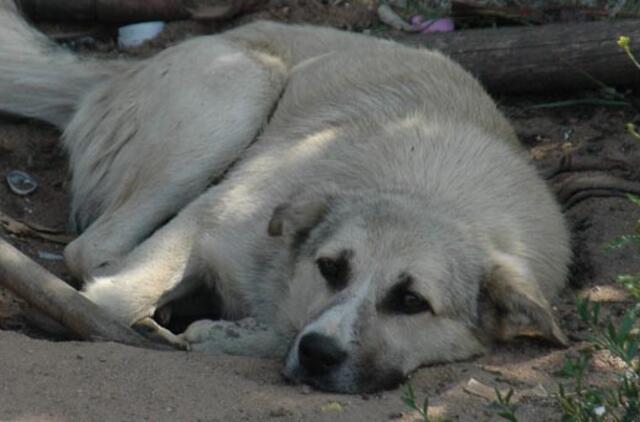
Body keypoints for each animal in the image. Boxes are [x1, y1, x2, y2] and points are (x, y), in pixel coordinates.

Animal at [0, 1, 568, 394]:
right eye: (331, 268)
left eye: (411, 302)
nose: (318, 353)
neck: (424, 185)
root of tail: (119, 70)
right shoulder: (208, 217)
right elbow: (114, 296)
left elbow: (279, 325)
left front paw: (227, 334)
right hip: (240, 91)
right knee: (91, 250)